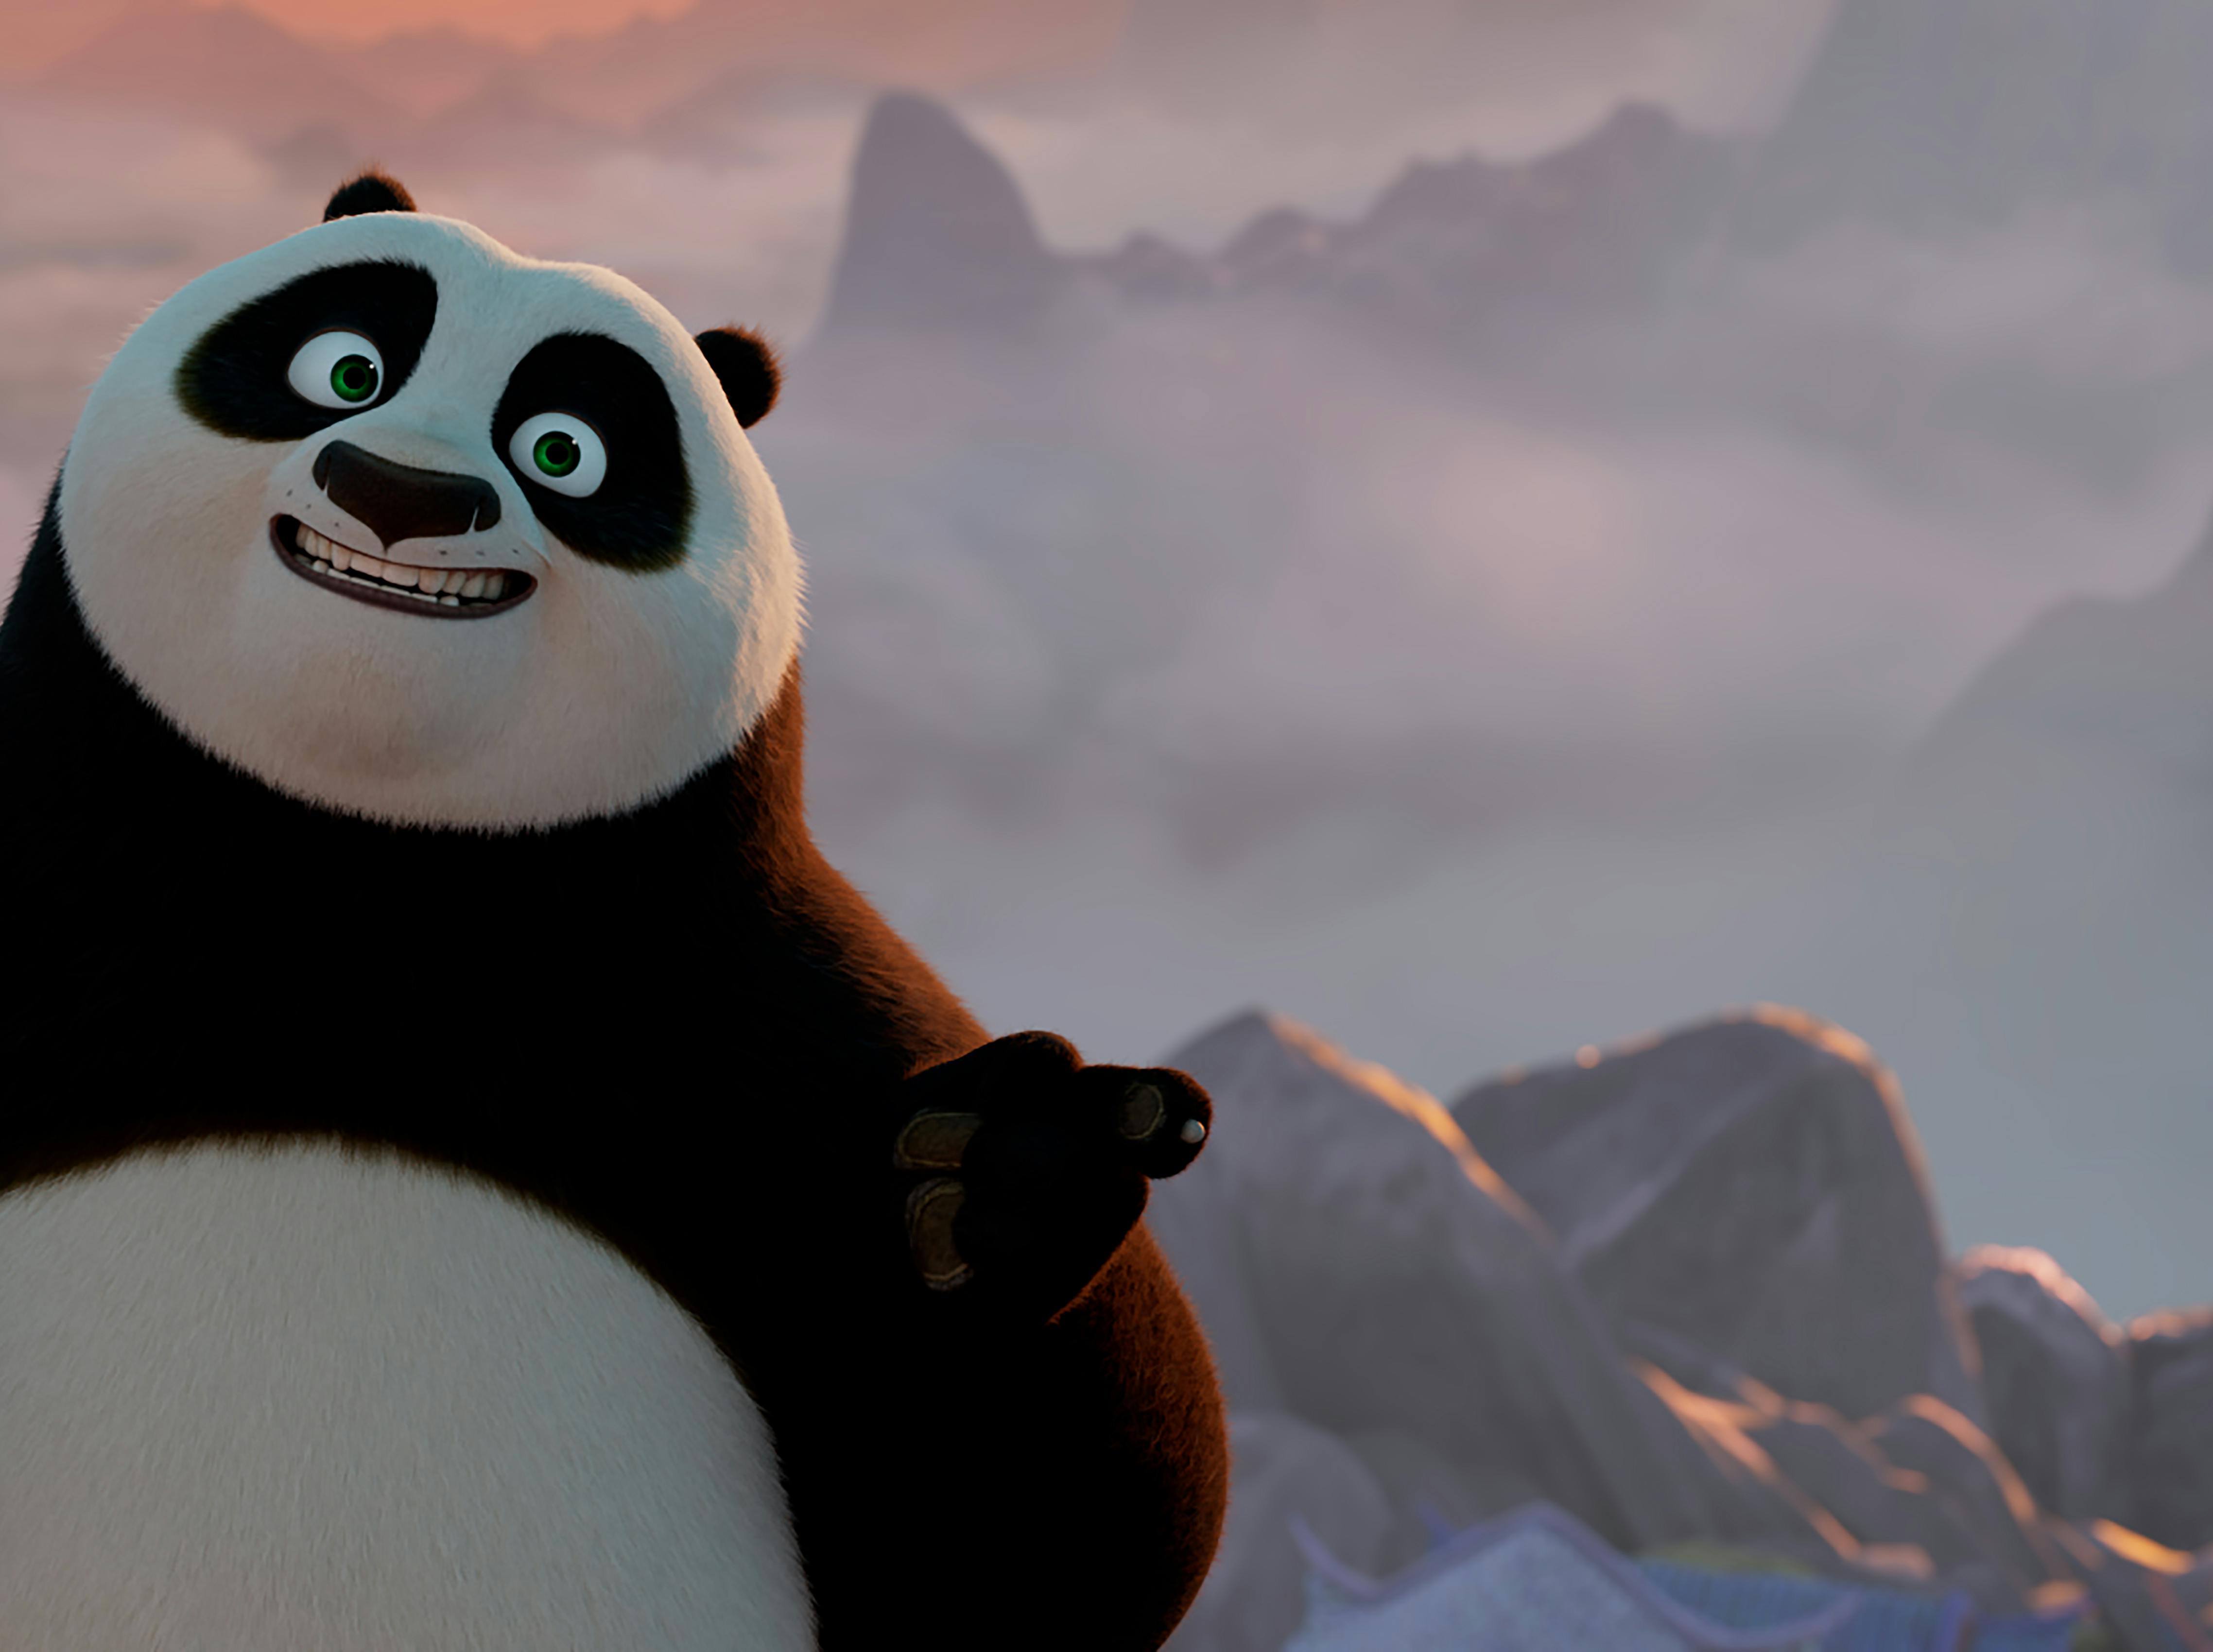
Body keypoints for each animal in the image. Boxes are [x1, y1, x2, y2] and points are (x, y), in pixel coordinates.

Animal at [0, 172, 1227, 1650]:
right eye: (344, 369)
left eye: (564, 452)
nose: (401, 494)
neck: (351, 874)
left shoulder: (754, 1026)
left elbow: (1065, 1538)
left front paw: (1004, 1177)